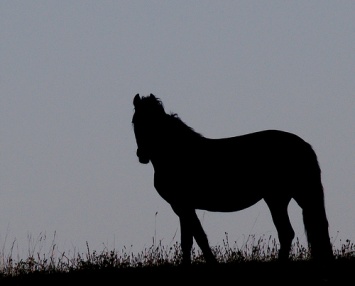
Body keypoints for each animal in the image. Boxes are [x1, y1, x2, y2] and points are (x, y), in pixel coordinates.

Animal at [131, 93, 334, 264]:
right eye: (135, 122)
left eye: (154, 122)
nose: (142, 155)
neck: (178, 153)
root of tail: (303, 145)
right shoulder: (182, 207)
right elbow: (188, 241)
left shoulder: (184, 205)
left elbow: (199, 238)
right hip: (290, 197)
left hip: (278, 198)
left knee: (286, 233)